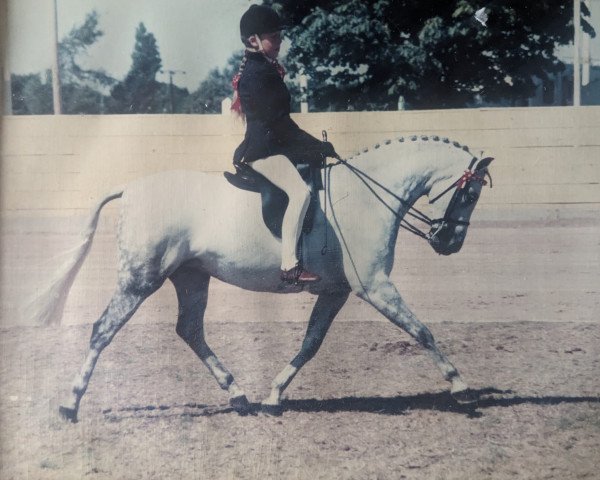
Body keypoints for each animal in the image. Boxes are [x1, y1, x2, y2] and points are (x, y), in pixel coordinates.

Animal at [30, 134, 494, 420]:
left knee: (190, 330)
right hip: (140, 279)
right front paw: (461, 387)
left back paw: (239, 395)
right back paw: (70, 404)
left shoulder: (338, 292)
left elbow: (310, 344)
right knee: (103, 330)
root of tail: (129, 188)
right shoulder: (374, 286)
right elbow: (422, 331)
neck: (365, 195)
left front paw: (274, 395)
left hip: (192, 278)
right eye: (470, 193)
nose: (449, 243)